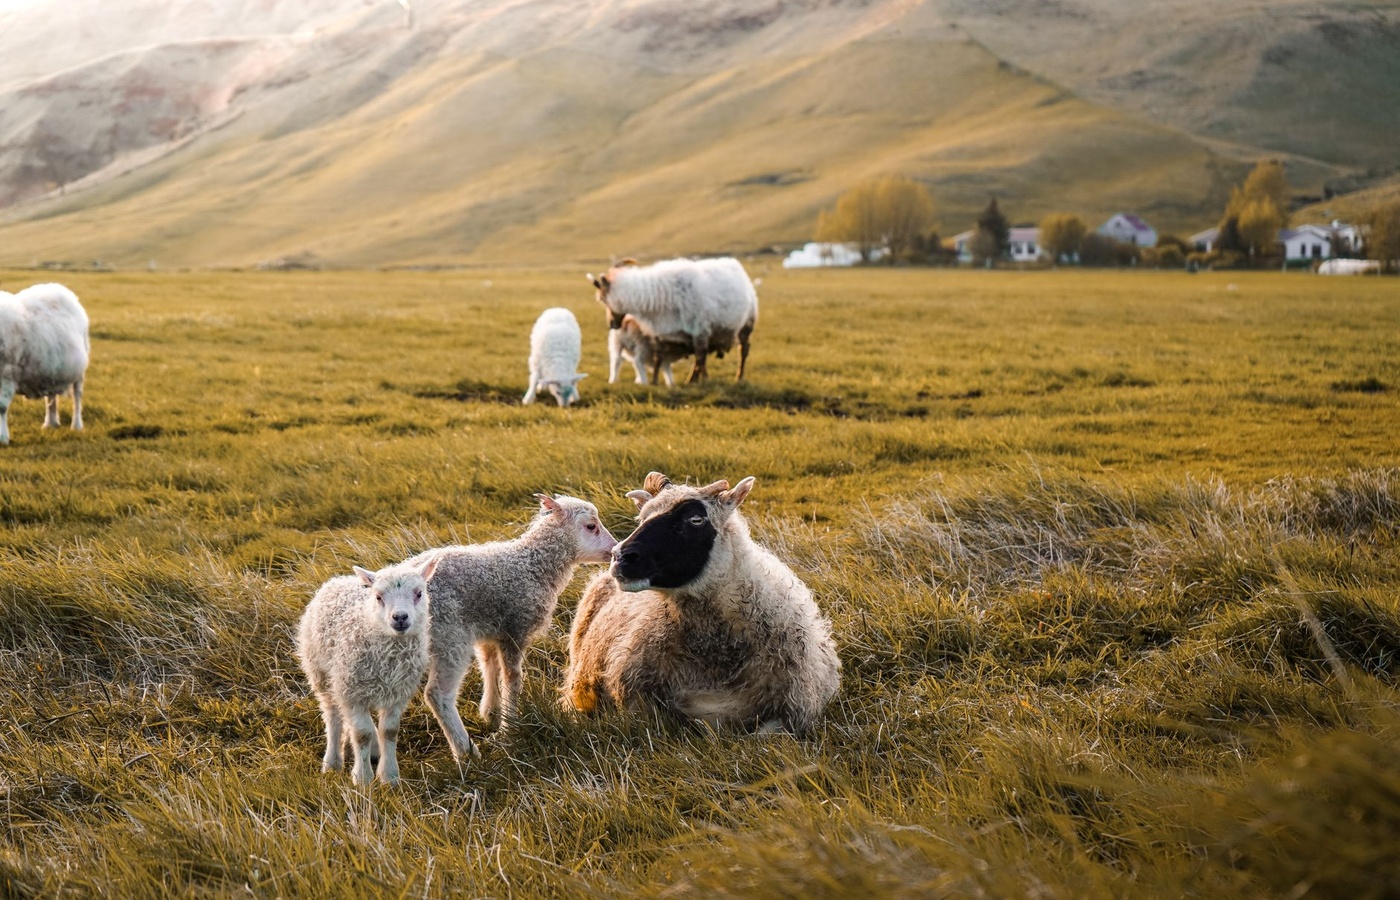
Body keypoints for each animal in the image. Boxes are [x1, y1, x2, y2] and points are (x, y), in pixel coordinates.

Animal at [0, 283, 90, 445]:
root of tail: (58, 287)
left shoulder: (8, 372)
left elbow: (2, 407)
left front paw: (2, 438)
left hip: (80, 370)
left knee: (77, 396)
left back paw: (76, 425)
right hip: (51, 369)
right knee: (51, 395)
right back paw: (51, 423)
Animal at [296, 555, 441, 786]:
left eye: (419, 593)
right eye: (379, 597)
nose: (400, 617)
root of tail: (339, 579)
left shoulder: (397, 693)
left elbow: (389, 731)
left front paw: (389, 777)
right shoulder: (353, 692)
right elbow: (362, 734)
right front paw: (362, 778)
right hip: (322, 674)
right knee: (332, 716)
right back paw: (332, 762)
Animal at [405, 493, 618, 762]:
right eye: (591, 526)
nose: (615, 550)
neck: (532, 565)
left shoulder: (488, 629)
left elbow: (490, 667)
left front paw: (492, 712)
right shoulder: (514, 628)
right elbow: (513, 678)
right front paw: (510, 727)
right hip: (449, 635)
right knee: (437, 695)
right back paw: (466, 752)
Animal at [587, 257, 757, 383]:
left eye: (603, 300)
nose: (612, 324)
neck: (657, 295)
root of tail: (736, 266)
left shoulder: (700, 330)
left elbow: (700, 357)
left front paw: (696, 381)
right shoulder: (662, 333)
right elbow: (659, 358)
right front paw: (655, 382)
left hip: (746, 324)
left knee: (743, 350)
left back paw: (738, 377)